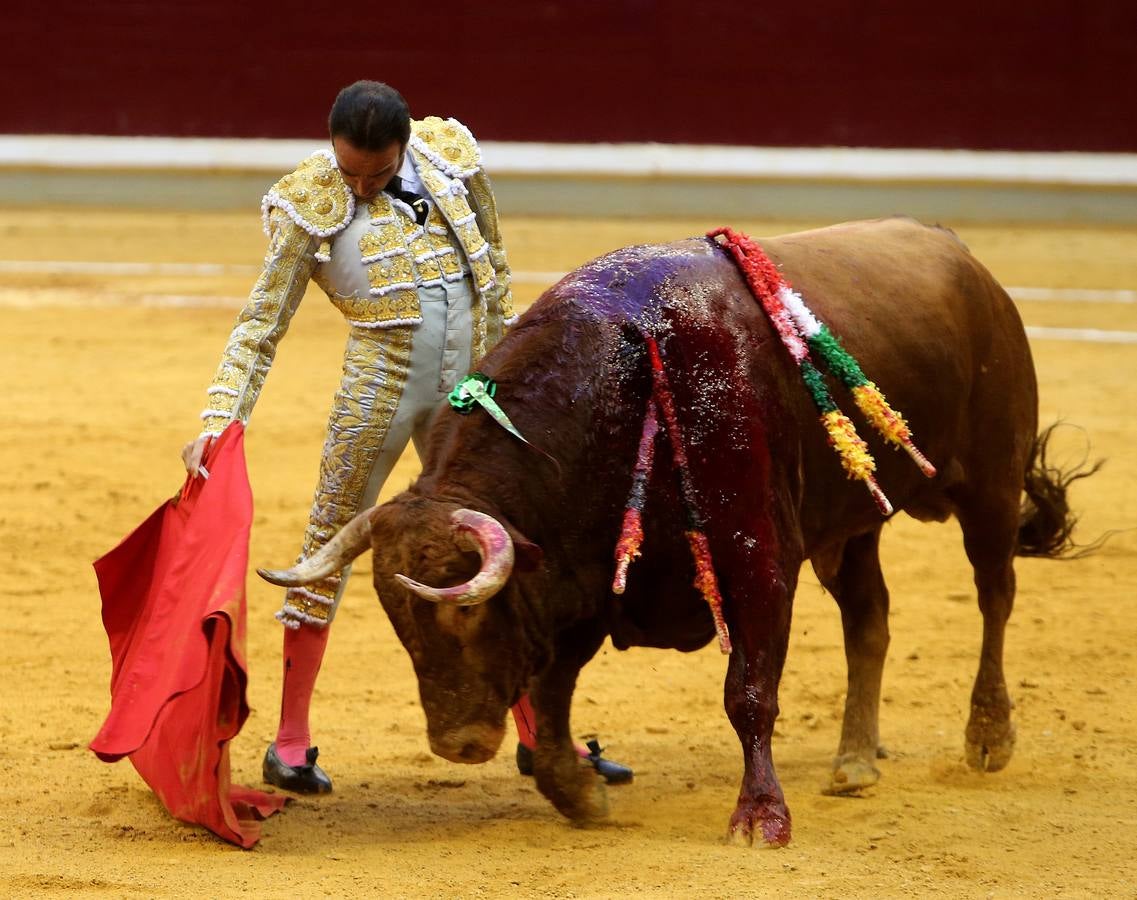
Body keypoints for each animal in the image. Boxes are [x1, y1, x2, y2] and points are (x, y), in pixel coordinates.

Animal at [261, 215, 1086, 845]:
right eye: (396, 617)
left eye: (465, 609)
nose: (457, 744)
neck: (627, 383)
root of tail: (958, 252)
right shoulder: (584, 584)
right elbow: (553, 698)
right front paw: (580, 794)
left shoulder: (757, 561)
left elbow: (747, 693)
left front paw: (758, 819)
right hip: (850, 526)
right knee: (869, 620)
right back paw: (854, 761)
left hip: (991, 482)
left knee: (993, 594)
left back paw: (987, 737)